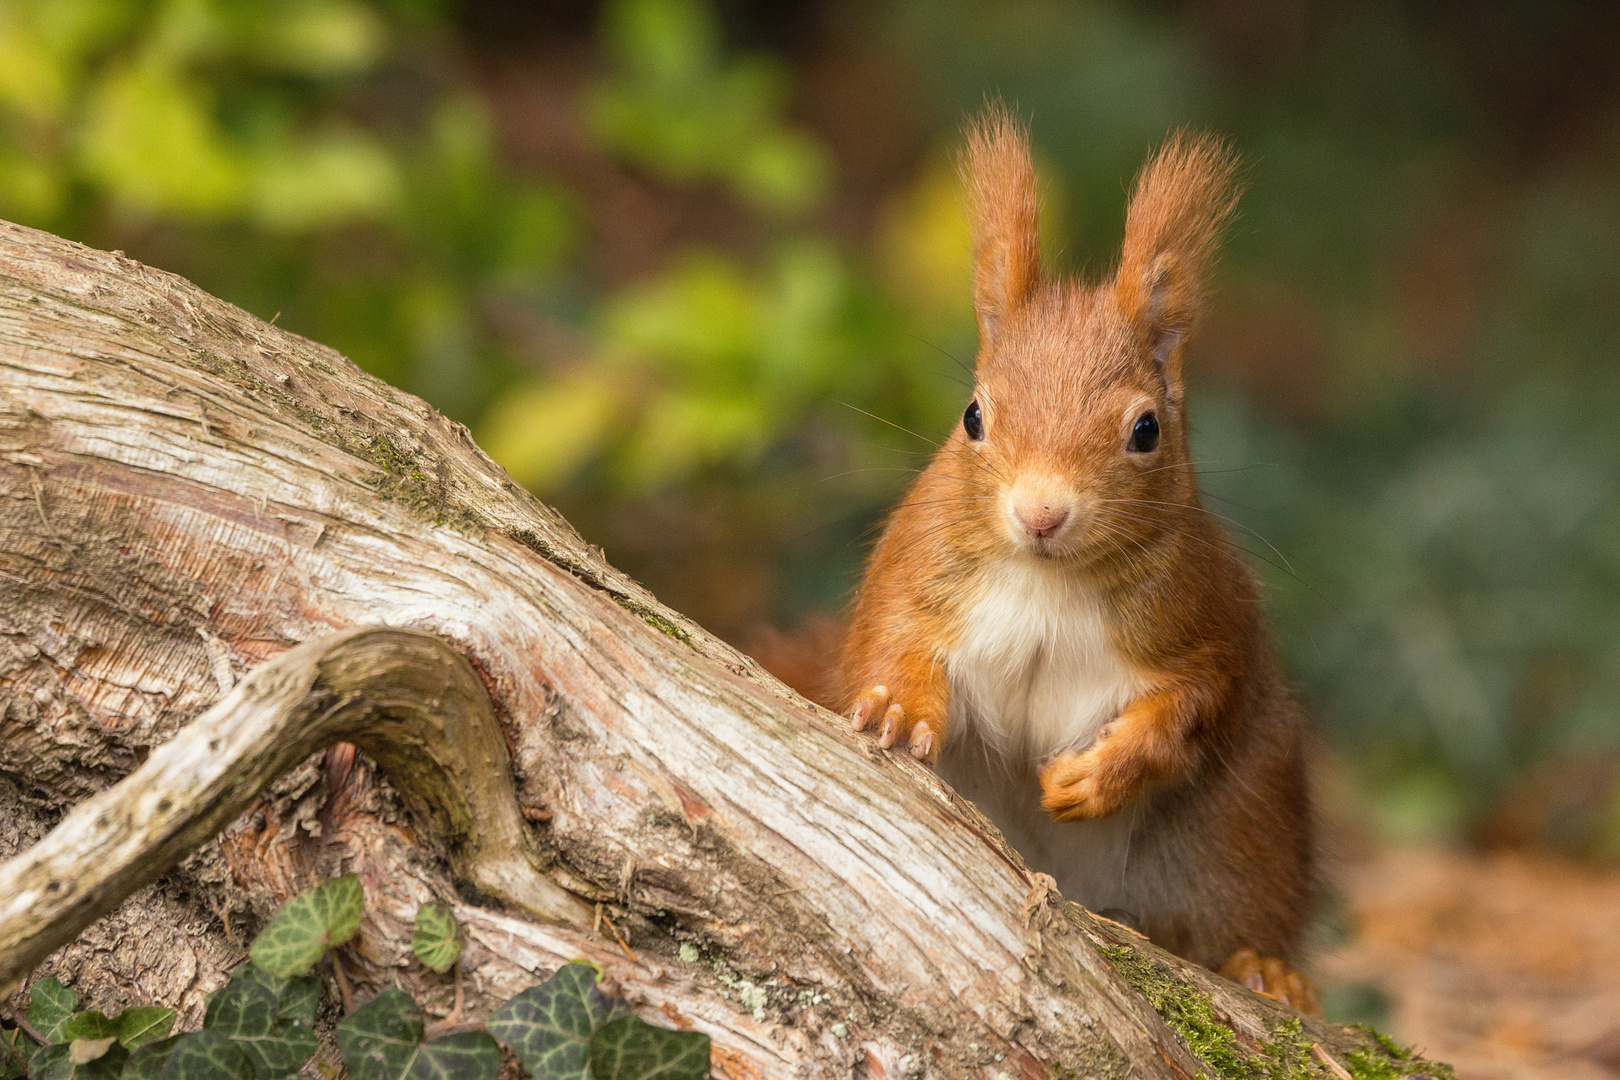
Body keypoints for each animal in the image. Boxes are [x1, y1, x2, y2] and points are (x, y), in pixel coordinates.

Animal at [835, 110, 1315, 1016]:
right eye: (973, 416)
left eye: (1146, 431)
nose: (1041, 513)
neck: (1046, 583)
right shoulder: (915, 574)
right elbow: (888, 641)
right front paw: (897, 708)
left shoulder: (1201, 621)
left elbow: (1188, 711)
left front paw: (1093, 779)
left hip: (1234, 837)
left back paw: (1264, 970)